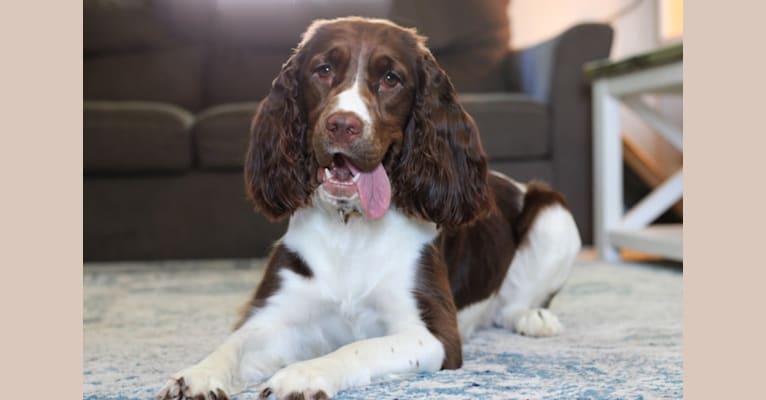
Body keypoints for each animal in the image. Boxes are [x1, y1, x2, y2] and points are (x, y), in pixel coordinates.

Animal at [158, 16, 584, 400]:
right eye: (323, 70)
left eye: (391, 79)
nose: (342, 125)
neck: (351, 225)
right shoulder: (276, 312)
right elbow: (234, 344)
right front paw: (195, 376)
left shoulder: (434, 334)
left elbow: (357, 347)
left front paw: (301, 375)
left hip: (555, 216)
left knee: (513, 303)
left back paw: (534, 317)